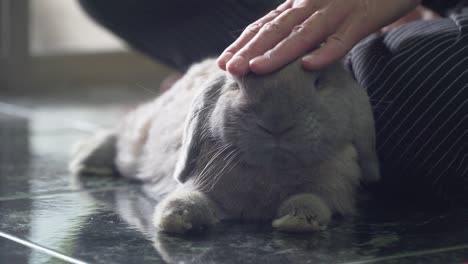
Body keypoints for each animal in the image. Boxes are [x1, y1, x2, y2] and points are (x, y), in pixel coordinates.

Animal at [71, 57, 382, 233]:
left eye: (319, 83)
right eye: (235, 86)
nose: (276, 123)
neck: (272, 170)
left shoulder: (332, 190)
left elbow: (311, 200)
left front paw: (296, 222)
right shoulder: (201, 185)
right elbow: (192, 199)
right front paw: (173, 218)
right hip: (138, 140)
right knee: (120, 132)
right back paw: (88, 161)